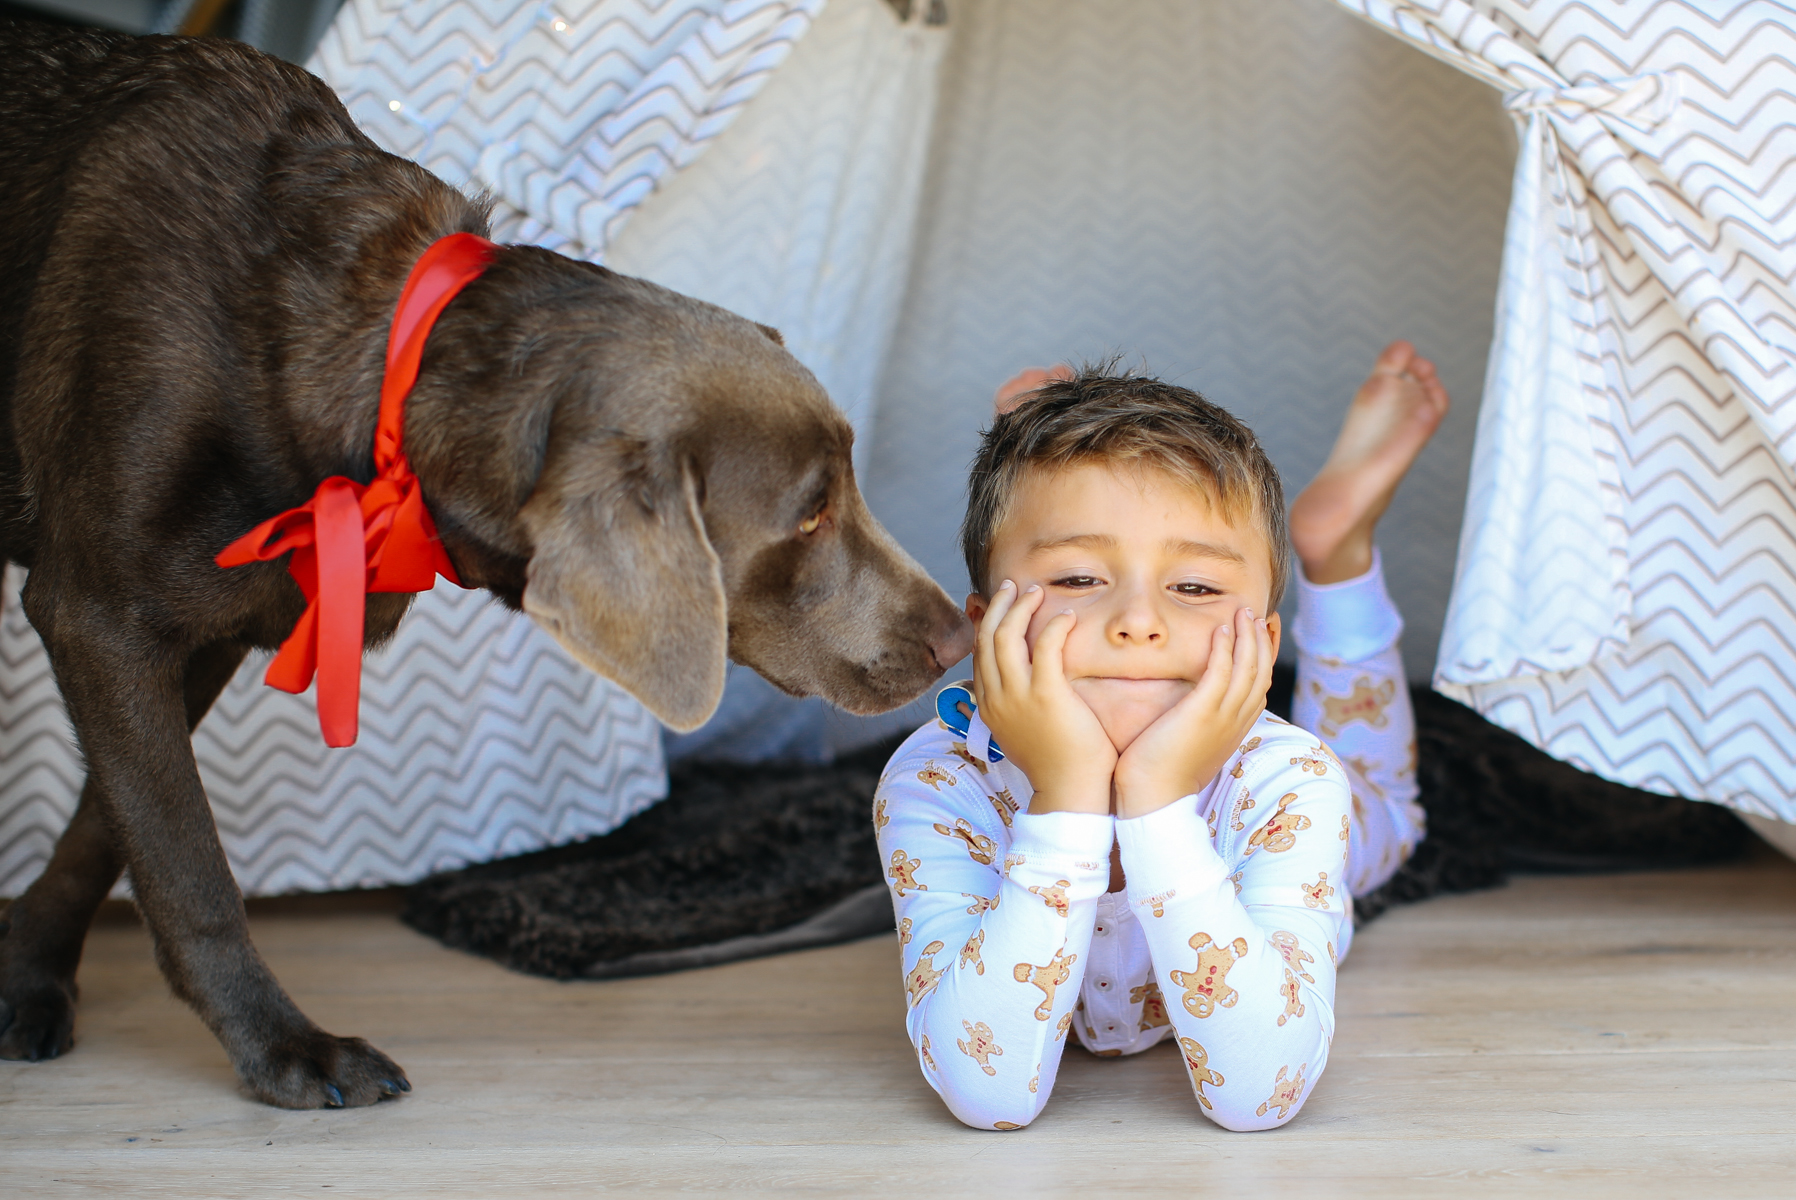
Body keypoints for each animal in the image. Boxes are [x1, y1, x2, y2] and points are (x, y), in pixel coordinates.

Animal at [0, 21, 969, 1106]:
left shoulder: (201, 627)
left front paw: (29, 976)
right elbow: (182, 859)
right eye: (807, 516)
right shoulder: (101, 615)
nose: (958, 633)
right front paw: (283, 1048)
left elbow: (103, 826)